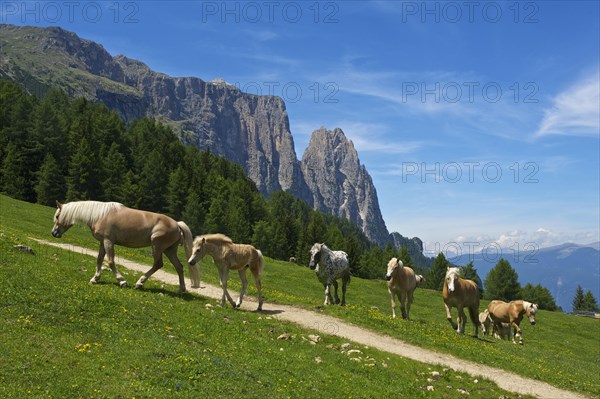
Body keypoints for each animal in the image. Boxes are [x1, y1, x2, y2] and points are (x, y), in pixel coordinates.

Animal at [51, 202, 197, 292]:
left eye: (57, 216)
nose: (54, 233)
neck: (100, 215)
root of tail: (177, 224)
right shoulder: (102, 242)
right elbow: (99, 260)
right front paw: (95, 279)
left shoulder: (108, 241)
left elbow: (110, 261)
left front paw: (122, 281)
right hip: (169, 250)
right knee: (179, 267)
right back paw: (181, 290)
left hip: (157, 247)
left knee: (158, 264)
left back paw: (139, 283)